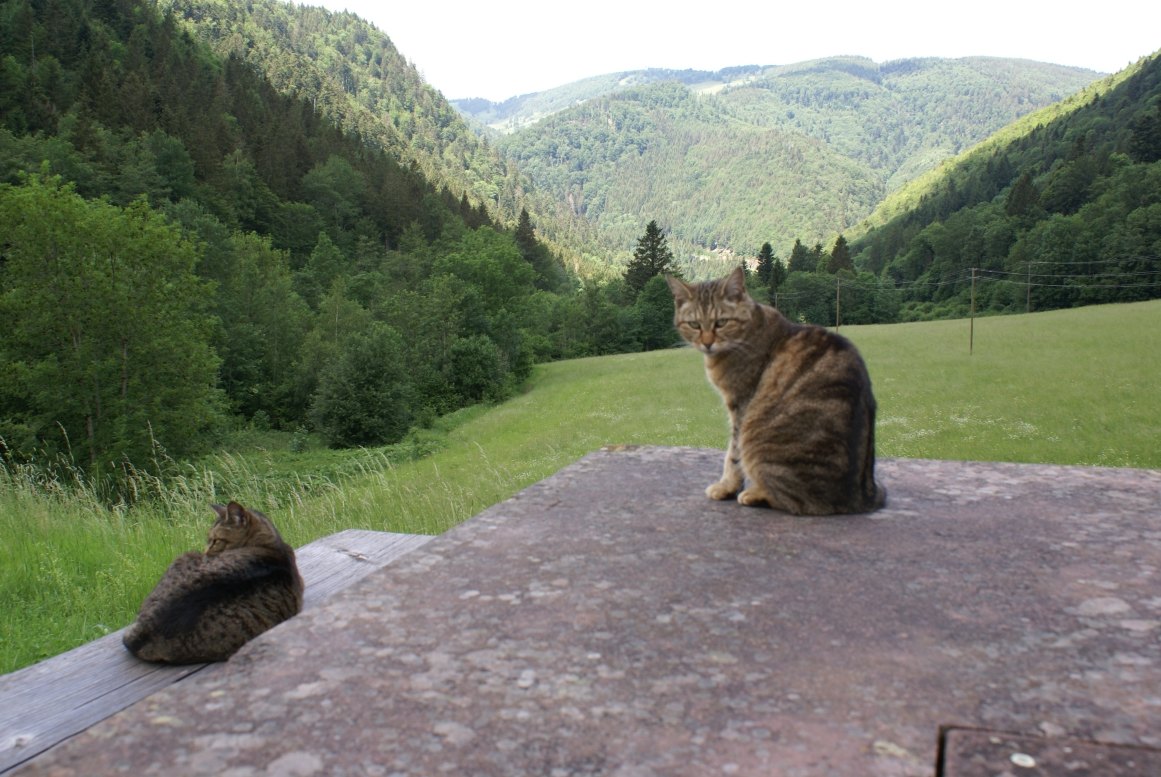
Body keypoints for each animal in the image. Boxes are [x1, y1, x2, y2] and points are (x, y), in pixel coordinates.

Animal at [667, 266, 886, 515]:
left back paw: (754, 493)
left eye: (721, 322)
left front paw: (726, 487)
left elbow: (733, 455)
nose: (707, 342)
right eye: (694, 324)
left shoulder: (740, 405)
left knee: (794, 501)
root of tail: (862, 497)